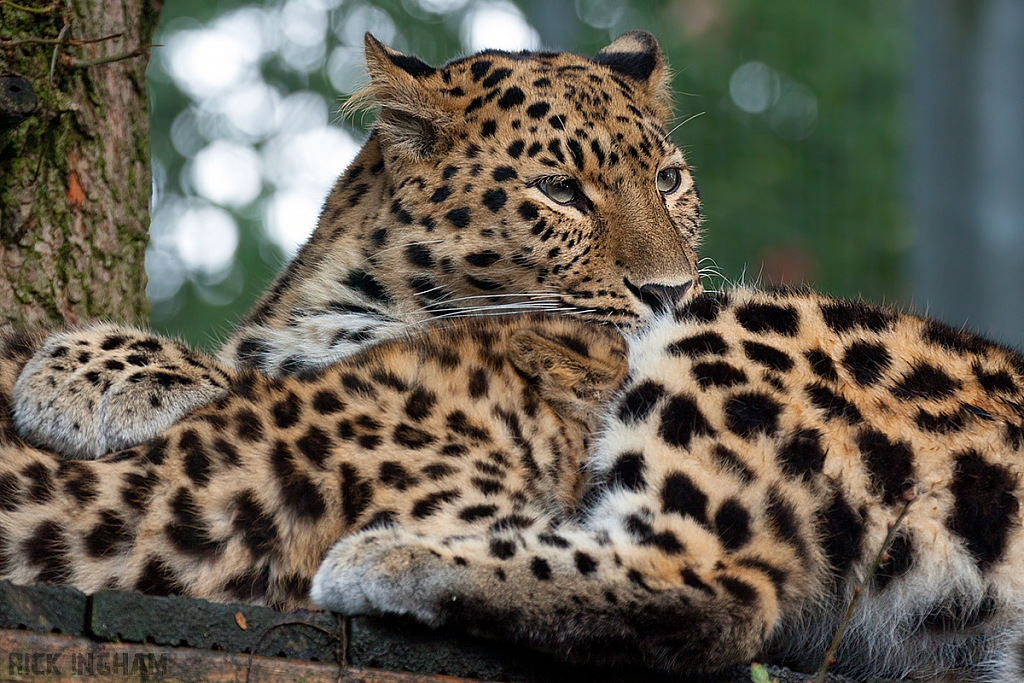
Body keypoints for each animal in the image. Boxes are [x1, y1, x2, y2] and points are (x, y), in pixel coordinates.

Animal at [0, 31, 1019, 683]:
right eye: (559, 190)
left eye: (668, 180)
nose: (669, 289)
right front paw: (90, 367)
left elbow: (256, 375)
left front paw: (82, 374)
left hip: (737, 336)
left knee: (717, 590)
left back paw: (391, 558)